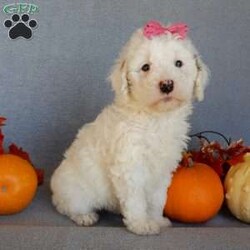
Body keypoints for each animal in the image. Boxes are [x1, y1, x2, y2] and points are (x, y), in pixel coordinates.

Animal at [49, 20, 208, 235]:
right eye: (146, 67)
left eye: (178, 63)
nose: (167, 84)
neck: (155, 118)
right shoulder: (130, 165)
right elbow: (136, 200)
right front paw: (141, 224)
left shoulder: (162, 169)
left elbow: (157, 199)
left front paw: (156, 220)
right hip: (76, 190)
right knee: (66, 205)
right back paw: (84, 216)